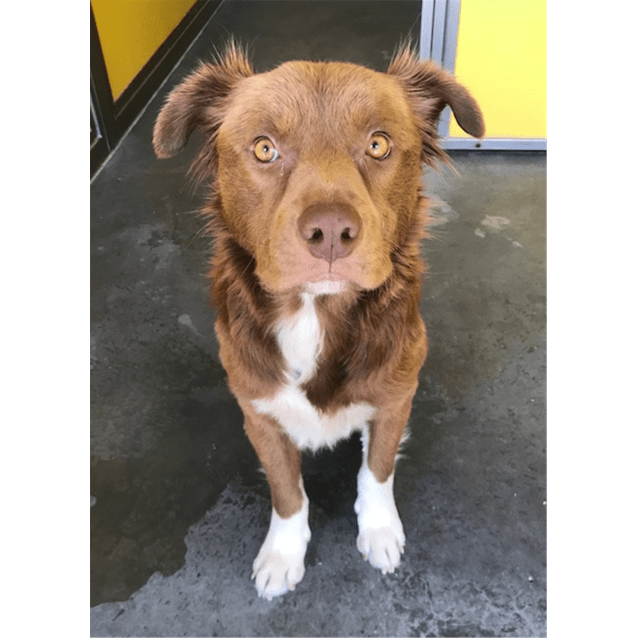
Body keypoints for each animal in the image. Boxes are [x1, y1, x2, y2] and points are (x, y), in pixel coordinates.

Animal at [154, 43, 484, 600]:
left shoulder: (395, 397)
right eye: (265, 149)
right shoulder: (259, 414)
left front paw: (379, 530)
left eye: (378, 144)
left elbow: (377, 471)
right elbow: (287, 492)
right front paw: (284, 553)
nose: (331, 231)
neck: (315, 313)